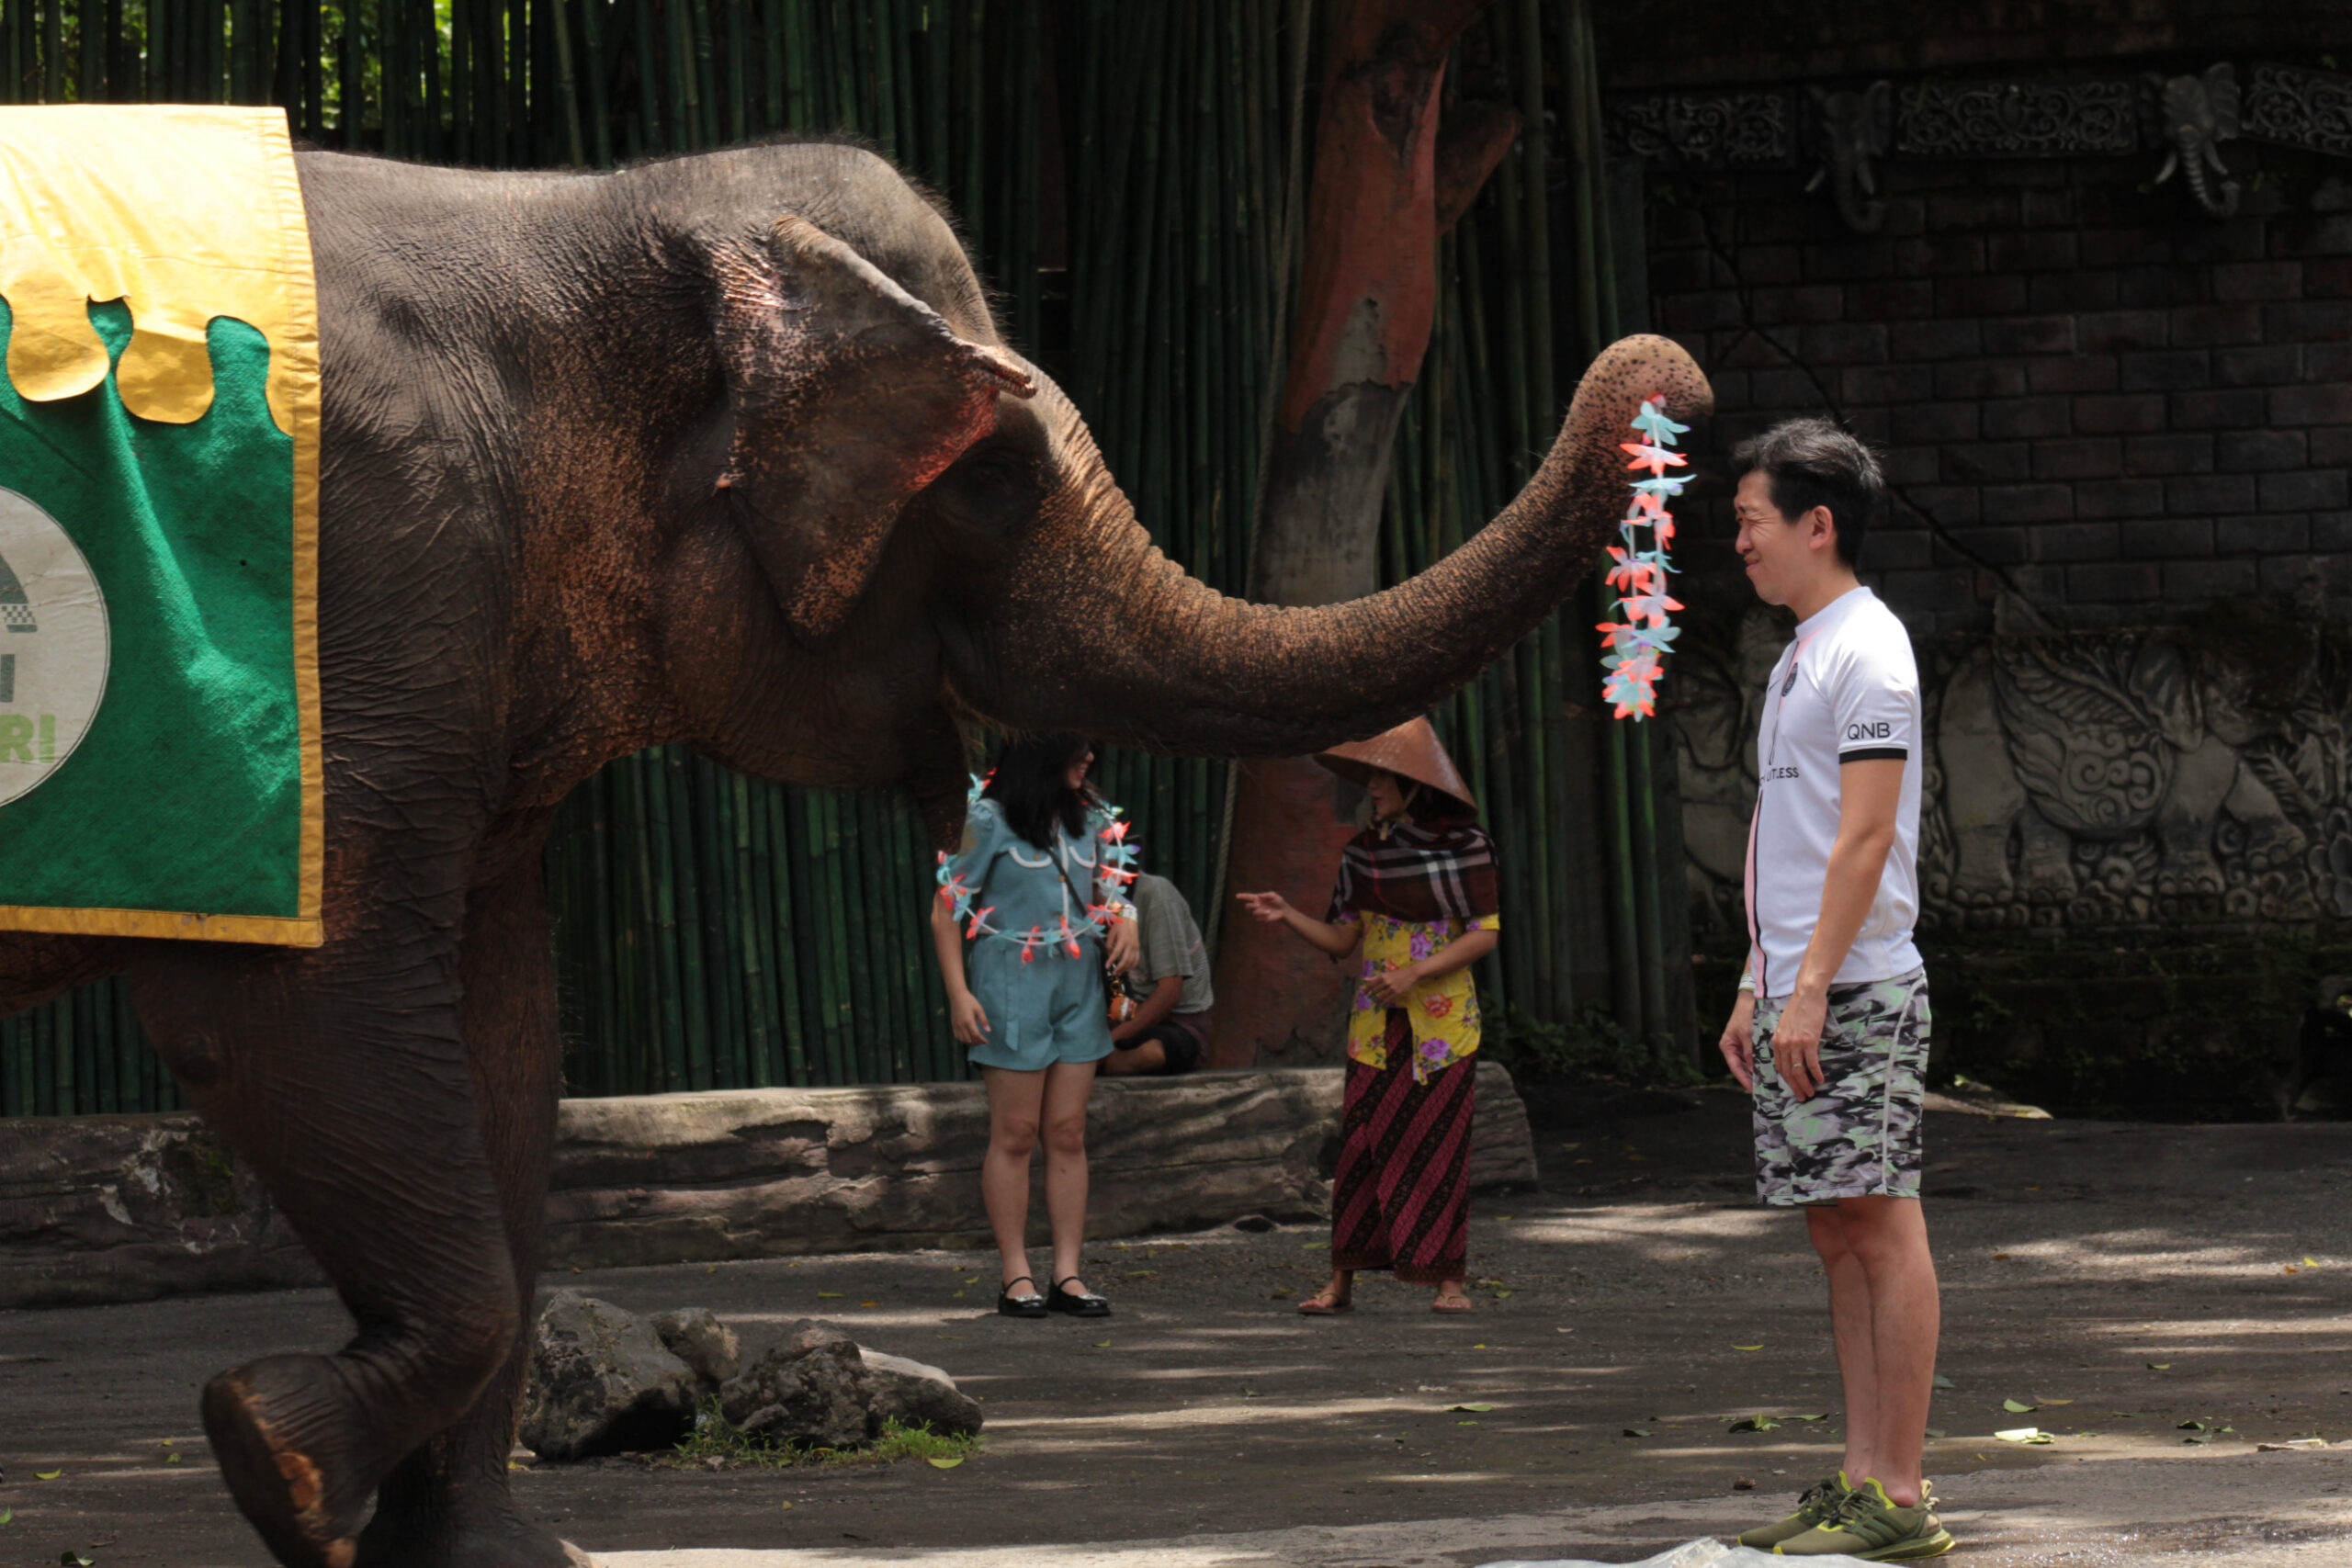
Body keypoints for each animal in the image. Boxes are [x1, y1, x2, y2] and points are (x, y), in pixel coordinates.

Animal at [0, 138, 1702, 1568]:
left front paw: (481, 1553)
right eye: (994, 478)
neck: (576, 212)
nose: (1662, 376)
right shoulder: (342, 585)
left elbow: (503, 1041)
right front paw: (274, 1455)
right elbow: (289, 1001)